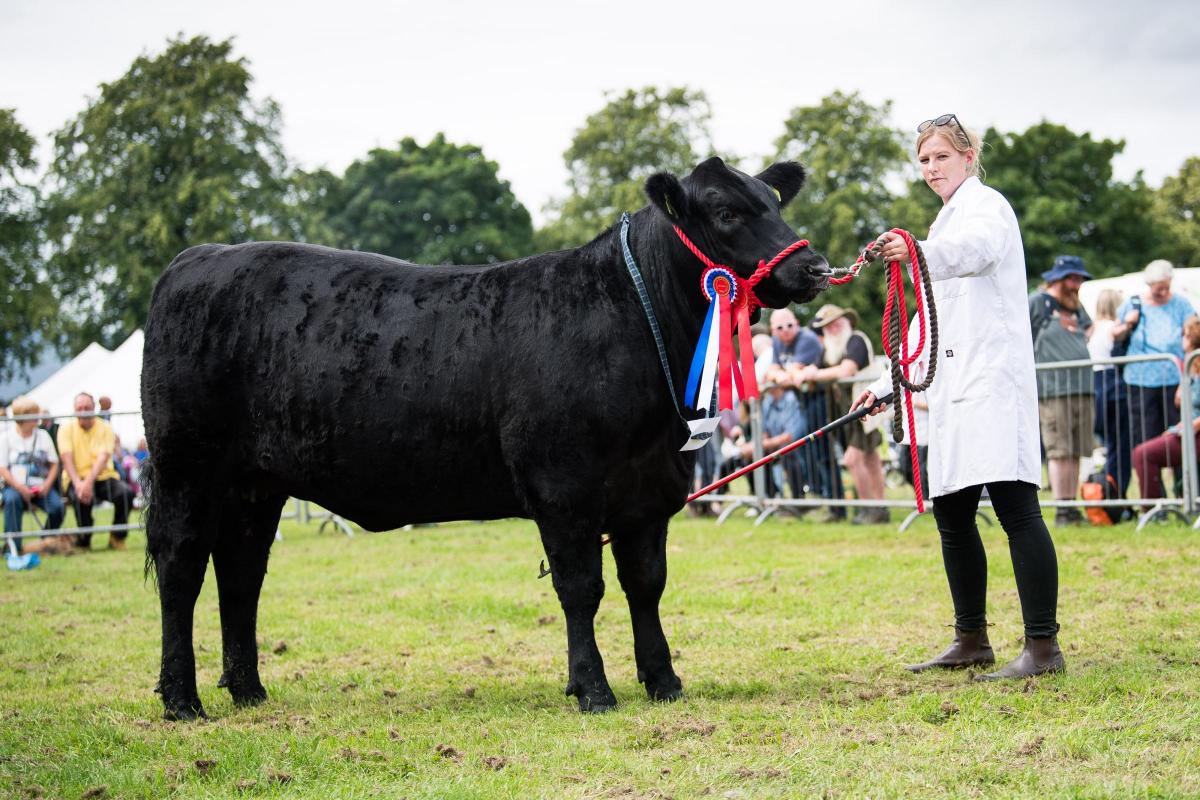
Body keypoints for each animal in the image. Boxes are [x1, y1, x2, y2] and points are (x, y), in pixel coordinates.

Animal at [142, 155, 825, 719]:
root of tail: (197, 258)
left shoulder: (649, 489)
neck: (630, 320)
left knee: (240, 573)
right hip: (186, 467)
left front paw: (663, 681)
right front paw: (593, 689)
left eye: (773, 201)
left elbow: (645, 585)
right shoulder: (564, 484)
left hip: (255, 486)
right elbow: (582, 588)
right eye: (727, 211)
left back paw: (248, 690)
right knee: (181, 568)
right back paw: (182, 700)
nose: (812, 265)